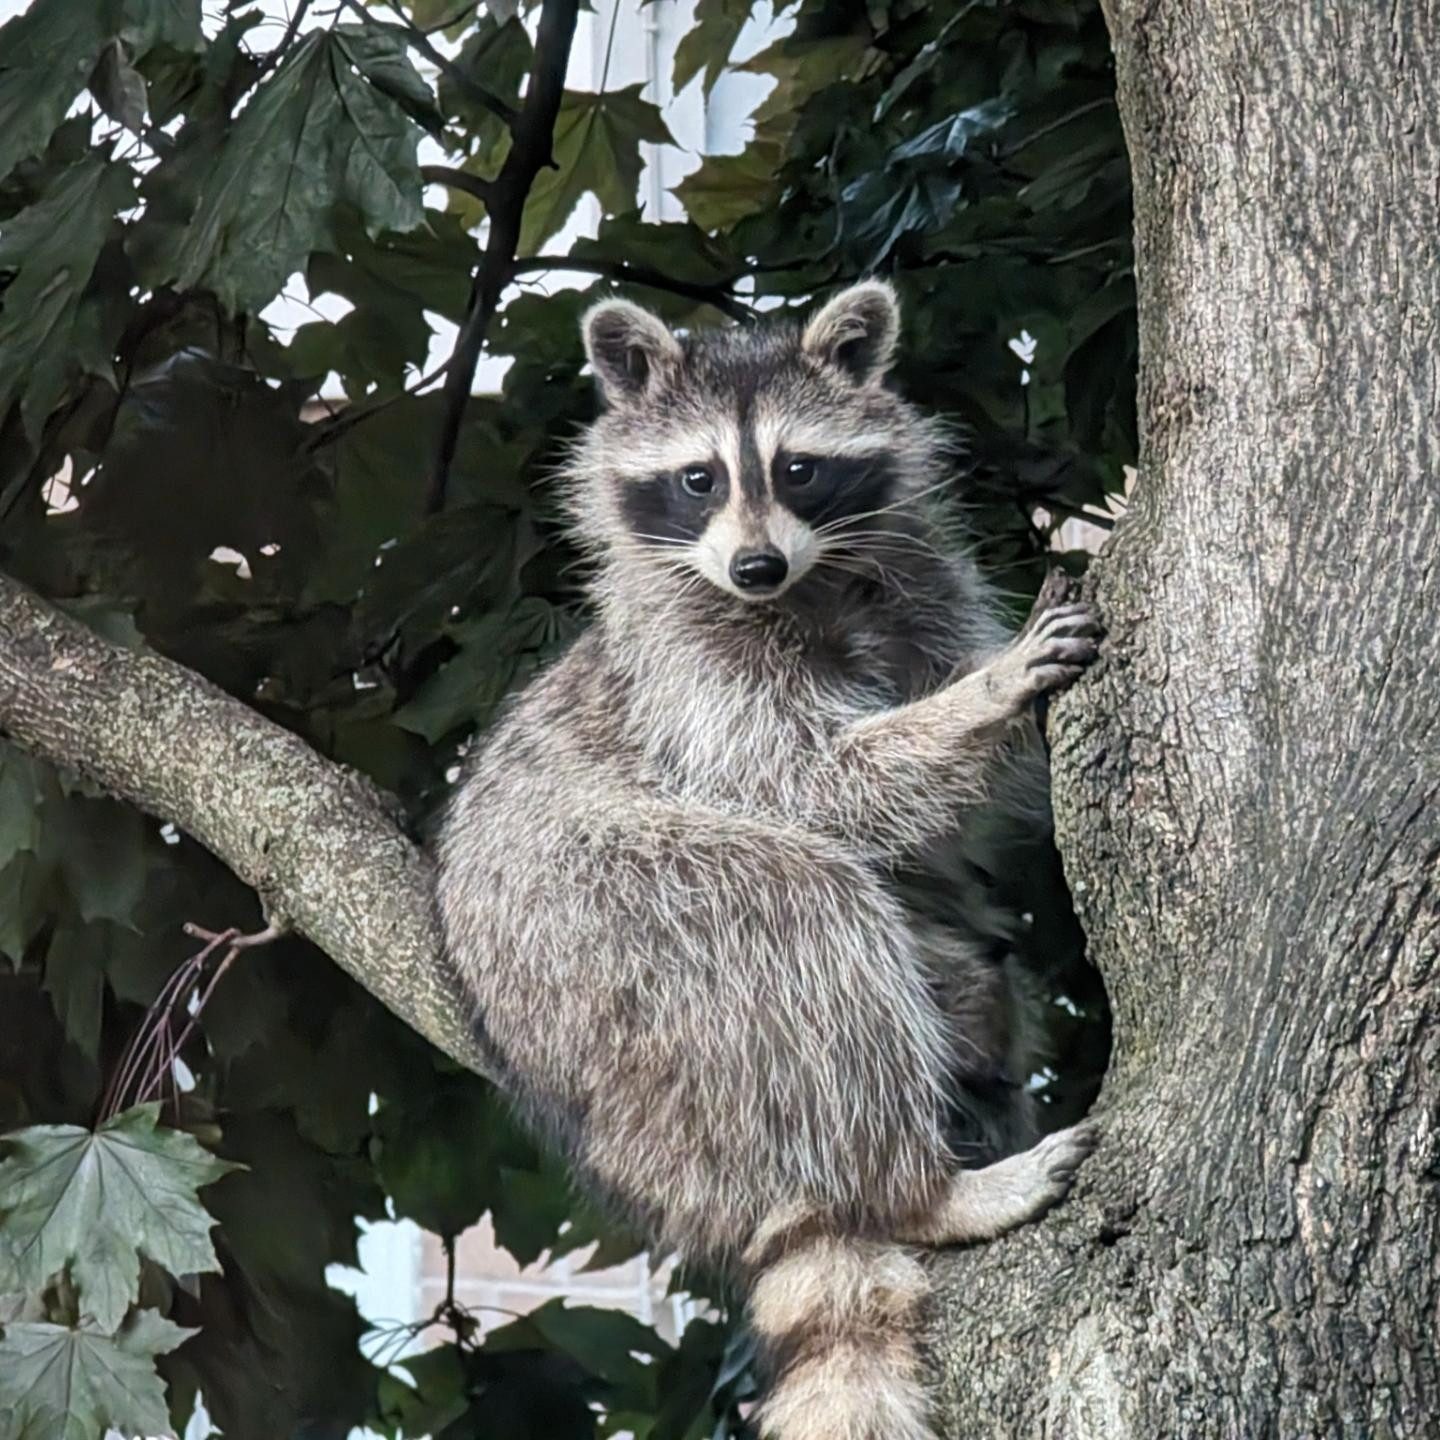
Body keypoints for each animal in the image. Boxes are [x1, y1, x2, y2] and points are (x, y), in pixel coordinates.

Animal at [432, 283, 1094, 1440]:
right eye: (700, 478)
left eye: (797, 469)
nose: (754, 565)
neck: (808, 582)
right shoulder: (691, 671)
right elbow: (812, 788)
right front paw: (985, 696)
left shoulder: (919, 582)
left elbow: (955, 823)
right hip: (600, 936)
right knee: (799, 912)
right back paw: (917, 1186)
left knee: (968, 973)